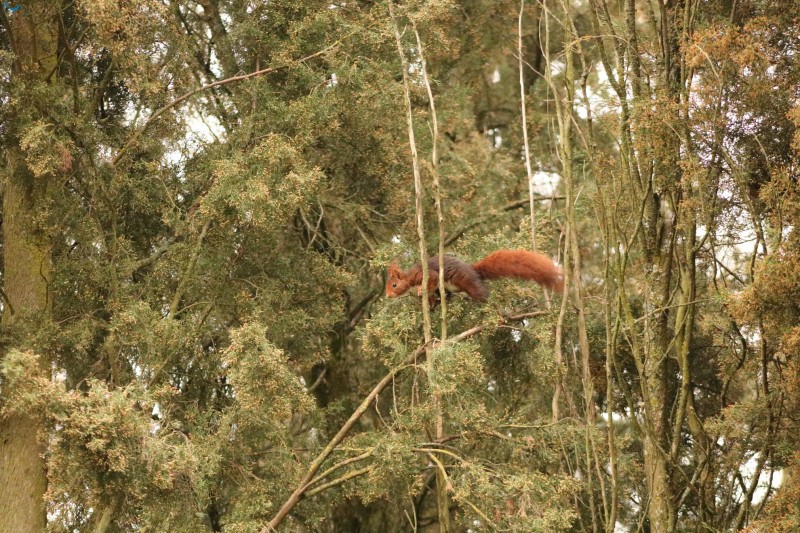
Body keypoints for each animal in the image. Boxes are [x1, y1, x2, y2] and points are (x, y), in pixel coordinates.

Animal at [385, 249, 563, 304]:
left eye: (394, 285)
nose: (387, 295)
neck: (409, 279)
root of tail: (473, 269)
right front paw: (430, 305)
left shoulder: (425, 274)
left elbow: (433, 279)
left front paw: (421, 291)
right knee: (447, 295)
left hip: (468, 282)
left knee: (481, 293)